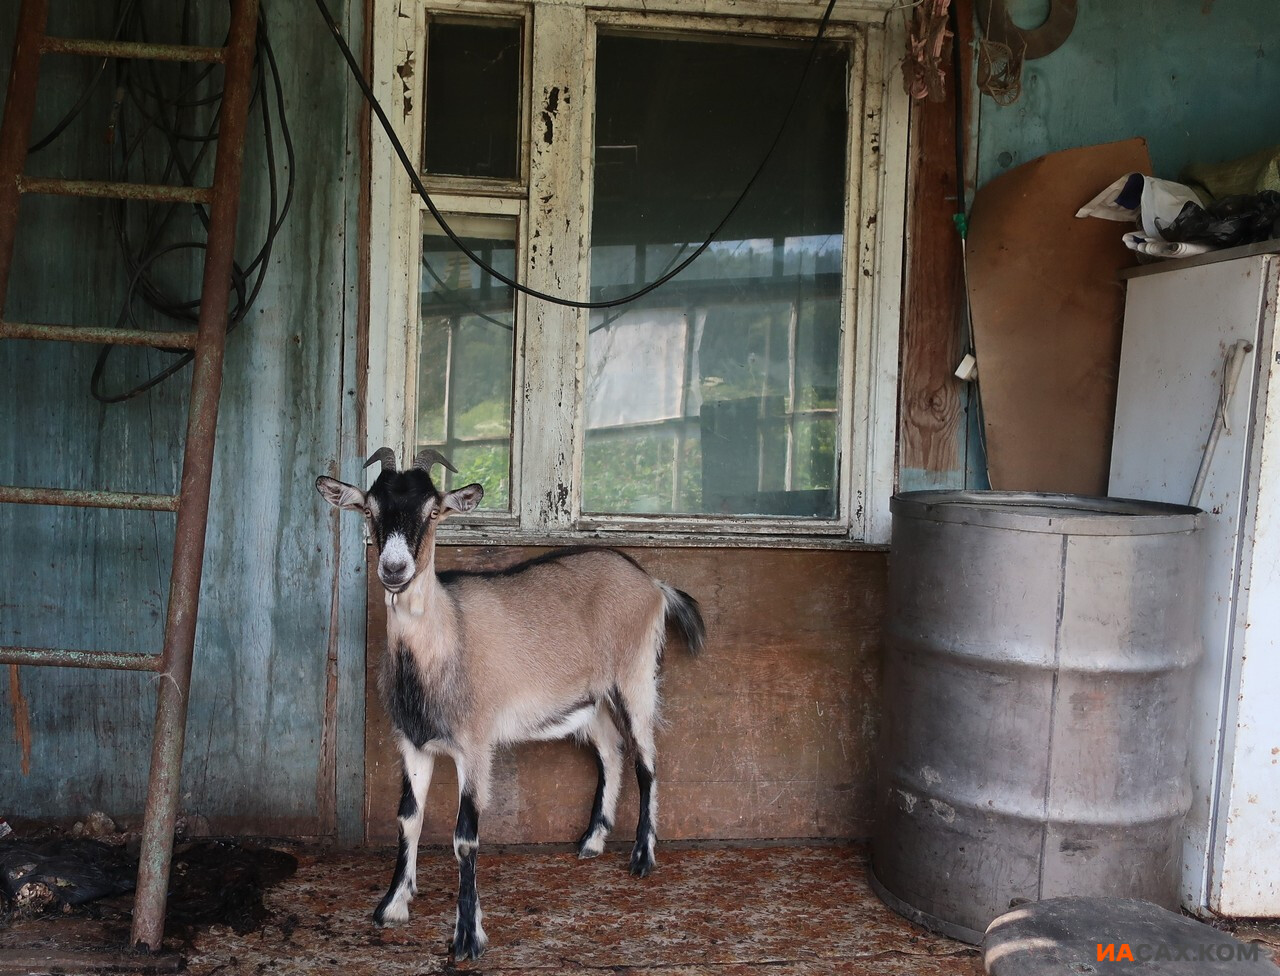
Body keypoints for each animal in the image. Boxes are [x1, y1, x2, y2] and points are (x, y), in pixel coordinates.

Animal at [316, 448, 706, 958]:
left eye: (434, 511)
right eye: (369, 510)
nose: (394, 569)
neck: (447, 635)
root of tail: (653, 583)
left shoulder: (475, 745)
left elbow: (465, 837)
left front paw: (467, 936)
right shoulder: (413, 742)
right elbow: (408, 819)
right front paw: (394, 905)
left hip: (635, 676)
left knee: (646, 759)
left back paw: (642, 857)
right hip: (592, 699)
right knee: (610, 750)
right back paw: (593, 840)